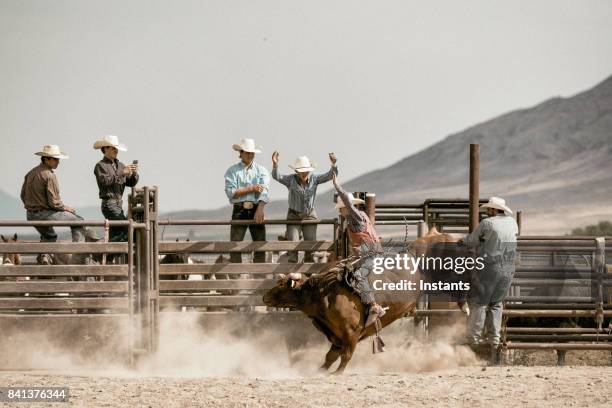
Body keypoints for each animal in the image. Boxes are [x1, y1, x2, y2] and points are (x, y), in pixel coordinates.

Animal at [262, 228, 468, 374]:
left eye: (281, 286)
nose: (264, 297)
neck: (324, 294)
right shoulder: (337, 336)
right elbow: (330, 356)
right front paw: (320, 370)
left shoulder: (351, 333)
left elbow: (345, 356)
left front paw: (337, 373)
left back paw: (464, 305)